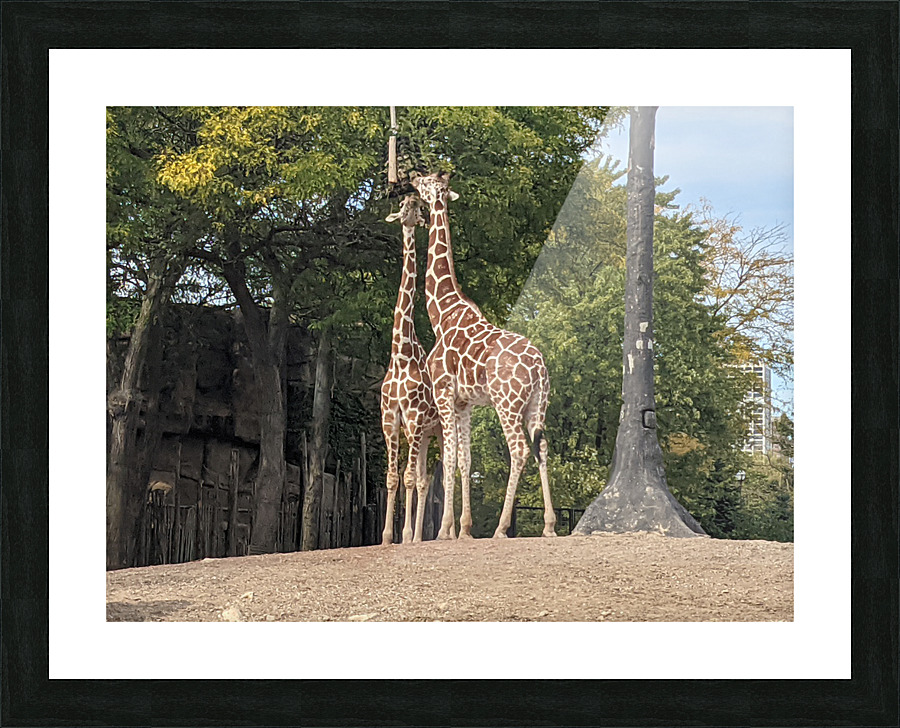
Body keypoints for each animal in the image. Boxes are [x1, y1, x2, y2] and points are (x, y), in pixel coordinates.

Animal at [410, 172, 557, 539]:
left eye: (427, 182)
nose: (412, 178)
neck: (441, 312)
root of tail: (539, 368)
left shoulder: (444, 393)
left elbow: (449, 459)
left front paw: (445, 530)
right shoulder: (465, 403)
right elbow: (465, 460)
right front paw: (463, 529)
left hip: (507, 403)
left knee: (519, 449)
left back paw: (502, 528)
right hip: (537, 405)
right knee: (542, 447)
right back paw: (549, 525)